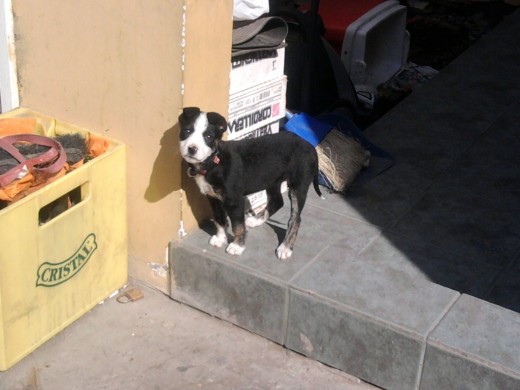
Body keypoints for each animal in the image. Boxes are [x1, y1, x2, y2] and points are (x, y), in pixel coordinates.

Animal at [179, 106, 320, 258]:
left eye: (208, 137)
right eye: (187, 131)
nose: (192, 148)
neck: (214, 162)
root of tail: (311, 147)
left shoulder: (235, 200)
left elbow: (238, 226)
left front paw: (237, 246)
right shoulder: (213, 197)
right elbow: (219, 219)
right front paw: (221, 238)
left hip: (298, 186)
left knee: (296, 219)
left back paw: (285, 247)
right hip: (271, 179)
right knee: (277, 201)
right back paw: (256, 220)